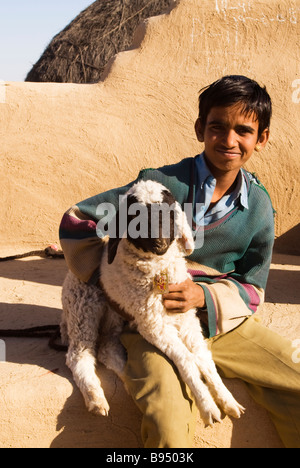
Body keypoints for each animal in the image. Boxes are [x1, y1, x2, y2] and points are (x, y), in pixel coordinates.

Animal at [60, 180, 244, 428]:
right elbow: (187, 359)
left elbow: (203, 358)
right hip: (83, 308)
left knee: (107, 349)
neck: (159, 271)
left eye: (168, 211)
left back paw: (128, 381)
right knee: (79, 355)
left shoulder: (186, 318)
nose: (159, 242)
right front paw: (208, 408)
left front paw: (227, 400)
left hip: (115, 319)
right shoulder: (153, 325)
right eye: (134, 216)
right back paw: (96, 399)